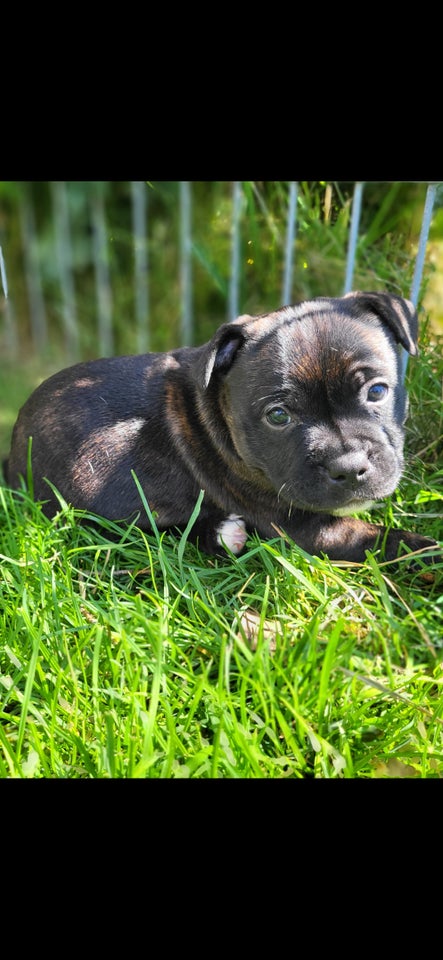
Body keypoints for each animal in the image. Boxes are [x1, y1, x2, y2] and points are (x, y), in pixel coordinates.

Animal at [4, 292, 440, 564]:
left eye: (377, 391)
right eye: (278, 416)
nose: (348, 468)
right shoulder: (305, 527)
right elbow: (390, 542)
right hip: (103, 459)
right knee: (117, 531)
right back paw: (221, 534)